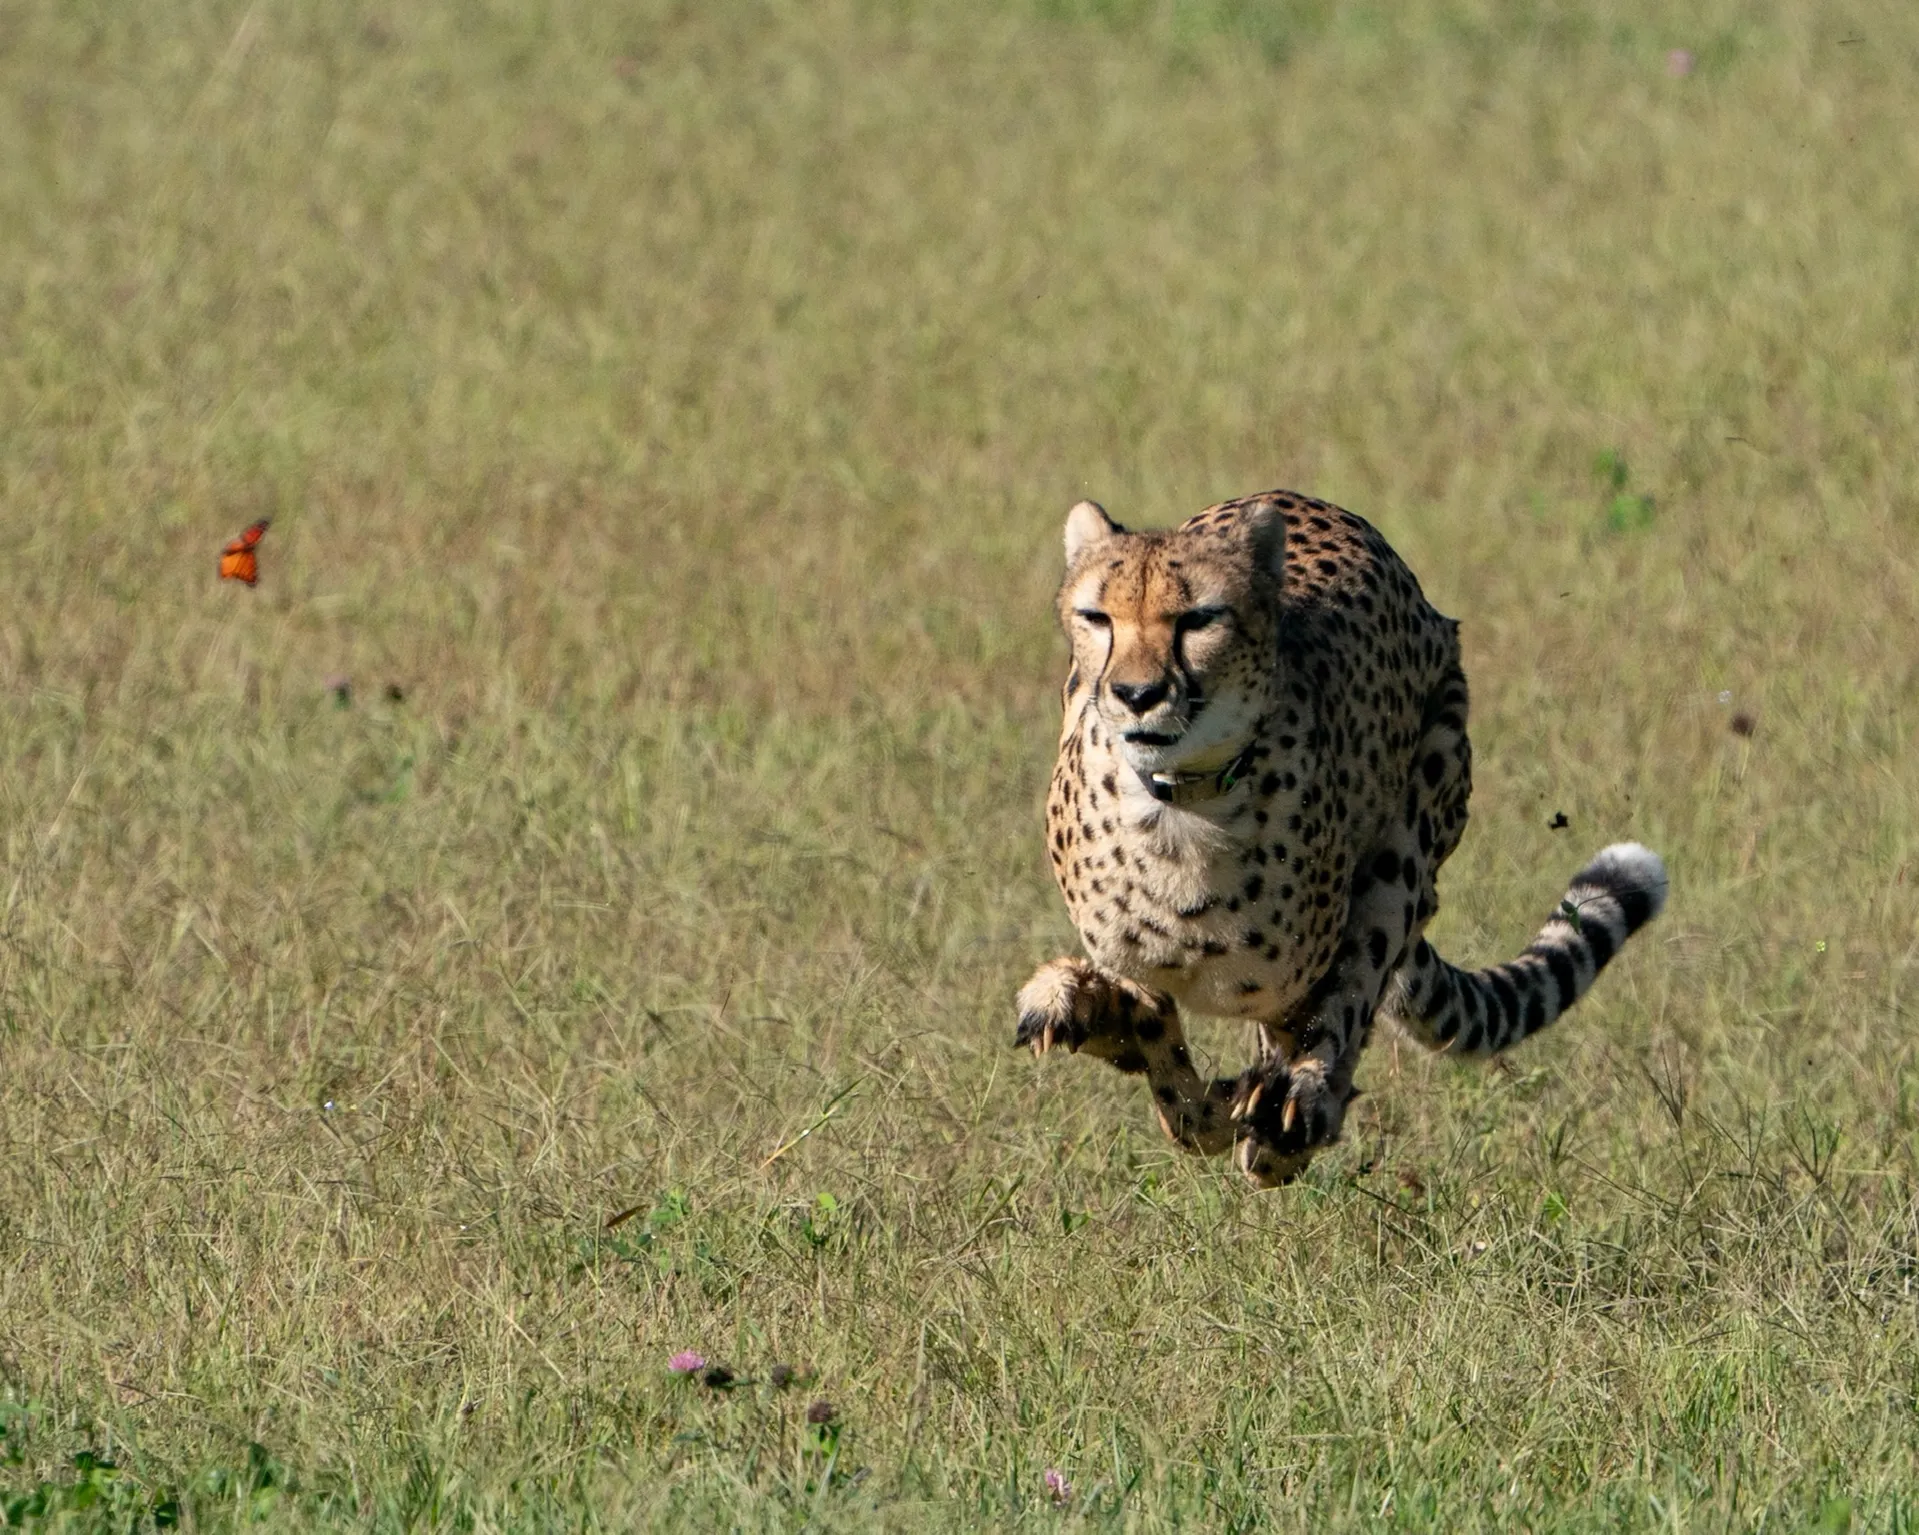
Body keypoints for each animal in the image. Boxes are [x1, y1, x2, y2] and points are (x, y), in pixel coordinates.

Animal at [1015, 489, 1668, 1187]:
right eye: (1097, 616)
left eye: (1198, 619)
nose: (1137, 694)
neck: (1184, 803)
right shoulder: (1133, 961)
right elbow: (1170, 1072)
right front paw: (1085, 1007)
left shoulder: (1311, 977)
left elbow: (1324, 1022)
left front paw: (1289, 1108)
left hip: (1419, 816)